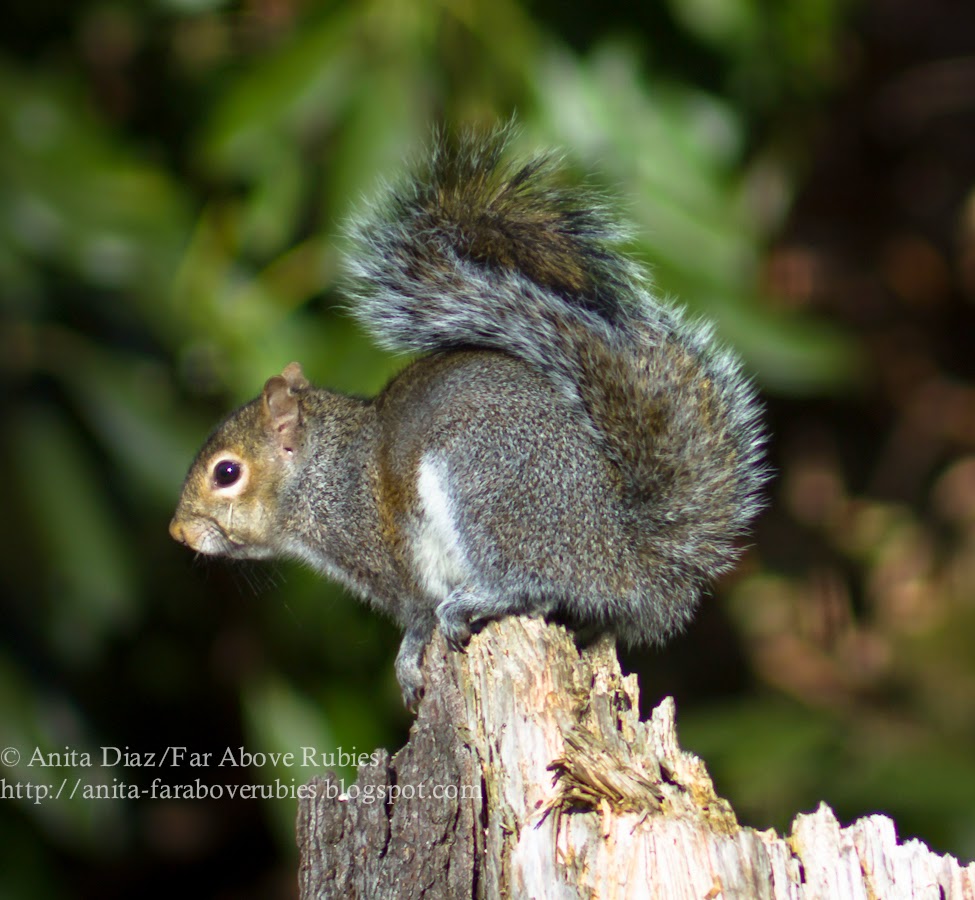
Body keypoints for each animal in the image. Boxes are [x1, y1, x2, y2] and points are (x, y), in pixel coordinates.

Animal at [169, 126, 767, 708]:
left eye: (227, 473)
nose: (178, 531)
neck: (325, 474)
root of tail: (622, 551)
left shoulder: (392, 563)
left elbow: (416, 619)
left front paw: (408, 660)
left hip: (485, 489)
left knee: (535, 584)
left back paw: (476, 602)